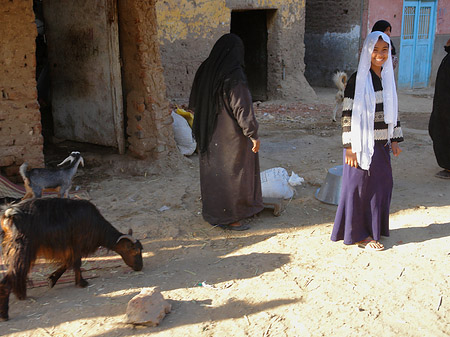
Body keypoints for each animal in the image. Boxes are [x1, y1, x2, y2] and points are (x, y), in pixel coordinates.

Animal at [0, 197, 143, 320]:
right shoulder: (76, 244)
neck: (96, 226)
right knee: (11, 276)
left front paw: (52, 279)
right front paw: (82, 282)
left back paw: (20, 294)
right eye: (135, 250)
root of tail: (9, 214)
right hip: (23, 249)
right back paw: (5, 313)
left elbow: (68, 263)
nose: (140, 267)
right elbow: (76, 263)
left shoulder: (70, 248)